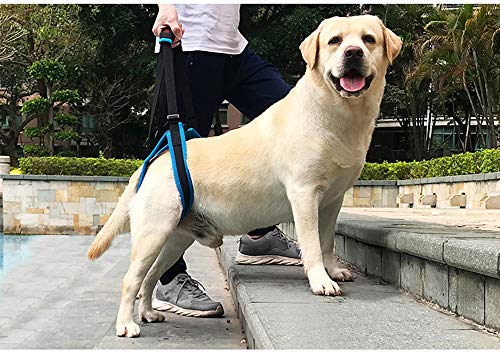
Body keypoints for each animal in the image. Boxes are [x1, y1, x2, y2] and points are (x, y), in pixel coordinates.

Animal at [88, 15, 402, 338]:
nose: (353, 53)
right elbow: (313, 244)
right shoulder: (304, 194)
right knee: (131, 279)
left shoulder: (332, 201)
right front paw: (321, 280)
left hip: (176, 237)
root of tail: (155, 160)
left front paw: (334, 270)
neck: (337, 114)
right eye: (335, 41)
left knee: (150, 276)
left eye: (368, 39)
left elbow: (327, 241)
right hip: (154, 231)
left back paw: (148, 312)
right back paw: (126, 324)